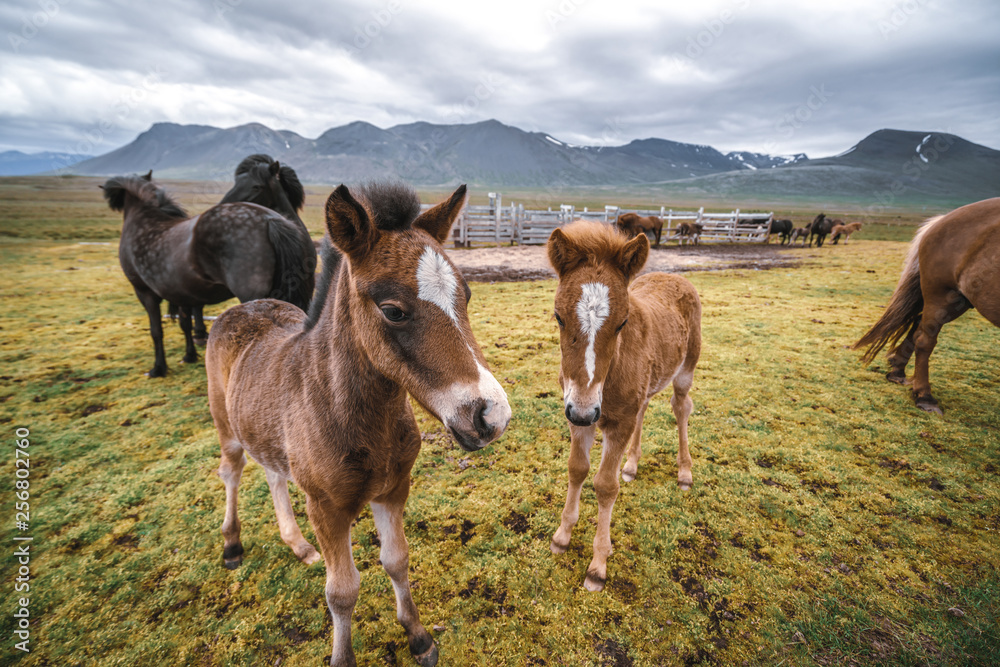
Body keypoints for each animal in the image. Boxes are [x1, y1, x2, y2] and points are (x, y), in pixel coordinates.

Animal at [103, 175, 314, 378]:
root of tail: (270, 219)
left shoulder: (145, 293)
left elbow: (156, 331)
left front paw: (158, 369)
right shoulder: (182, 295)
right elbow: (185, 324)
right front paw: (189, 355)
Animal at [206, 183, 512, 667]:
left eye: (466, 297)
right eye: (393, 310)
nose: (491, 416)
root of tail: (243, 308)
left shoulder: (393, 490)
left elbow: (397, 560)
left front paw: (418, 636)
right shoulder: (326, 508)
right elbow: (342, 592)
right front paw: (344, 654)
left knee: (273, 474)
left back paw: (297, 544)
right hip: (227, 429)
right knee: (231, 472)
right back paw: (232, 545)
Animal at [548, 222, 704, 592]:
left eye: (622, 322)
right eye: (558, 317)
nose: (585, 410)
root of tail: (674, 276)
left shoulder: (614, 423)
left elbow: (605, 486)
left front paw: (598, 566)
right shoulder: (578, 416)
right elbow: (576, 469)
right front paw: (562, 536)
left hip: (685, 371)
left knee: (681, 408)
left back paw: (684, 472)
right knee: (645, 408)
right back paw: (632, 465)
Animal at [852, 198, 1000, 414]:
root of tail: (941, 220)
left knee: (917, 325)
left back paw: (898, 371)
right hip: (944, 296)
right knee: (924, 339)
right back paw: (924, 396)